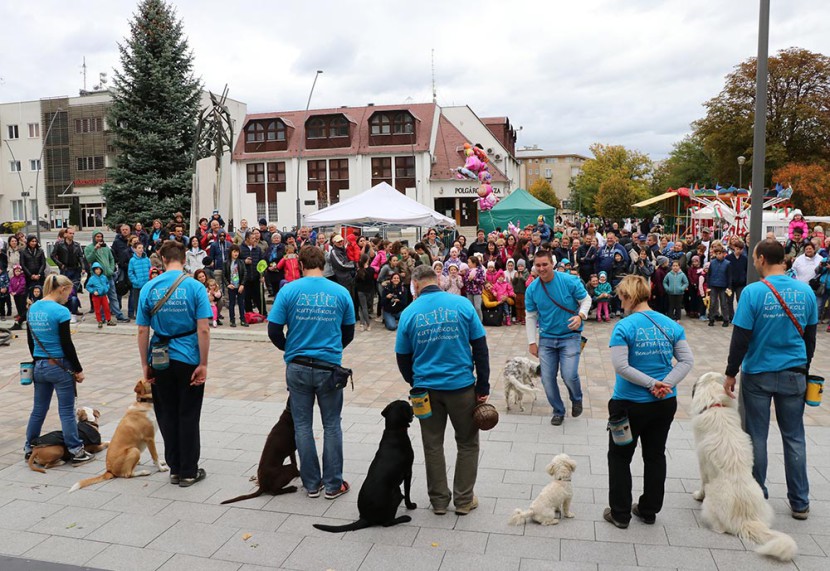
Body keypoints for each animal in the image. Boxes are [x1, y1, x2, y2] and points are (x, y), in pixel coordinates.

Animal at [312, 400, 416, 536]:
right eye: (408, 406)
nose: (413, 406)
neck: (394, 430)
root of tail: (365, 517)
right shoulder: (408, 471)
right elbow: (408, 491)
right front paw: (410, 506)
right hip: (396, 493)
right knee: (387, 522)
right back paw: (404, 518)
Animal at [688, 374, 800, 560]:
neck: (716, 404)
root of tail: (745, 519)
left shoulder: (702, 463)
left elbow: (702, 482)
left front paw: (698, 495)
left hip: (712, 503)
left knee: (720, 528)